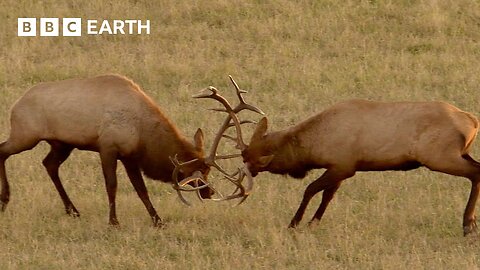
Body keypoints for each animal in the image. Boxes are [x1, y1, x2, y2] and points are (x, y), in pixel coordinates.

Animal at [0, 74, 253, 226]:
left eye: (208, 172)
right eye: (194, 173)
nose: (209, 192)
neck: (143, 132)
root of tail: (16, 105)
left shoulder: (131, 157)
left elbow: (141, 189)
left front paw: (157, 220)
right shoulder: (108, 148)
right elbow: (112, 186)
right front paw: (113, 221)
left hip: (62, 144)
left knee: (49, 164)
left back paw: (72, 210)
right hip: (26, 135)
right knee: (3, 150)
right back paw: (5, 200)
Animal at [201, 83, 480, 235]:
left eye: (248, 158)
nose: (244, 172)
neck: (314, 146)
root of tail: (471, 121)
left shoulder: (344, 165)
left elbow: (310, 189)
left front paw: (294, 223)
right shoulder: (341, 168)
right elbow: (327, 195)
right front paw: (313, 223)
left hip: (440, 156)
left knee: (475, 173)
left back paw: (467, 224)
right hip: (459, 153)